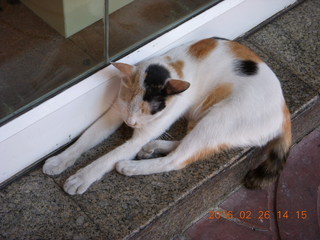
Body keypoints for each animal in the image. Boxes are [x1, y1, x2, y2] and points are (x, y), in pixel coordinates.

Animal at [43, 37, 292, 195]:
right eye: (129, 104)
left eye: (147, 110)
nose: (130, 122)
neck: (172, 66)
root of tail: (284, 112)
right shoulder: (114, 113)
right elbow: (85, 139)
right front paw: (60, 160)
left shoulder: (140, 134)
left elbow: (106, 158)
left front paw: (82, 177)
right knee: (185, 145)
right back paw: (152, 147)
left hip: (218, 119)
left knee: (177, 160)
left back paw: (131, 166)